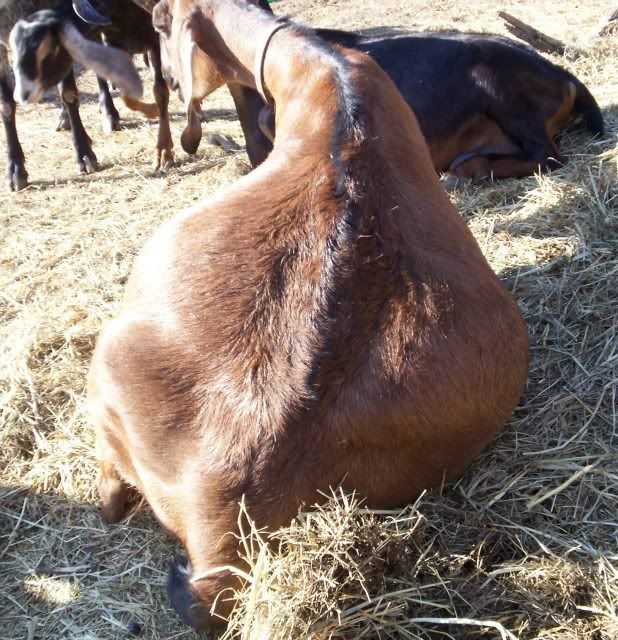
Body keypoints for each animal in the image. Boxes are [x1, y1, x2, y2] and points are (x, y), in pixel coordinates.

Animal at [88, 0, 529, 631]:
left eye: (161, 26)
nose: (167, 76)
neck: (323, 72)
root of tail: (219, 522)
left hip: (105, 370)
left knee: (108, 495)